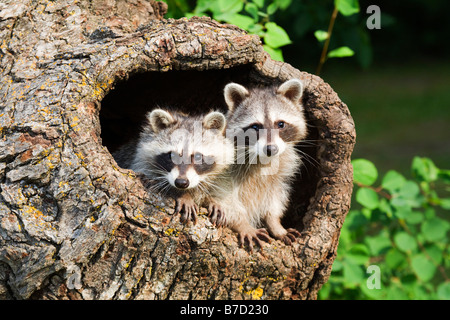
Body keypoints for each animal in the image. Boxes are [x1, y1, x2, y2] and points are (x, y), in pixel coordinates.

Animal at [223, 79, 308, 249]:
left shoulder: (280, 173)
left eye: (280, 124)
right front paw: (243, 224)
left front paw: (275, 224)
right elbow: (224, 201)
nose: (271, 149)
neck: (262, 159)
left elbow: (274, 199)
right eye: (255, 126)